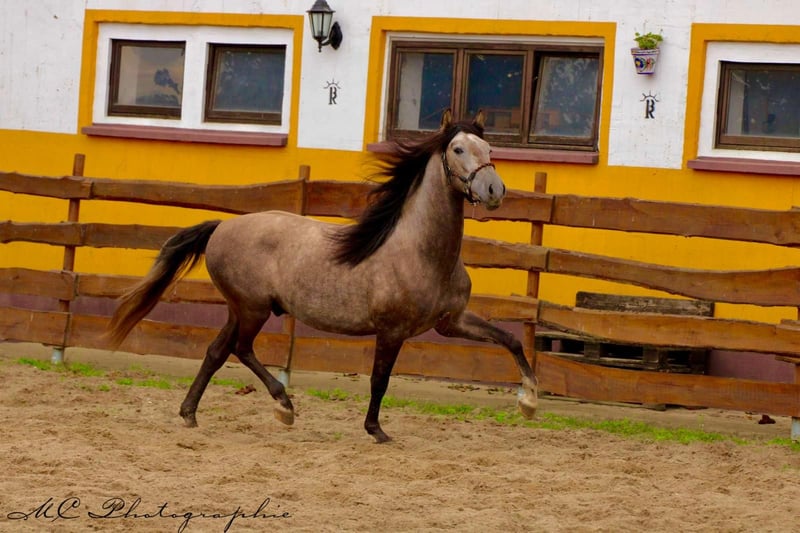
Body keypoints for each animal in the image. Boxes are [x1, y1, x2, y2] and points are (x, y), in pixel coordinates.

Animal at [106, 110, 538, 443]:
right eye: (458, 149)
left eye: (490, 150)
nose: (493, 189)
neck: (422, 252)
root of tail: (221, 227)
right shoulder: (392, 331)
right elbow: (379, 379)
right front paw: (376, 430)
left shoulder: (451, 322)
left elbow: (511, 339)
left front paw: (530, 402)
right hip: (252, 308)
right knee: (241, 349)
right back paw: (284, 406)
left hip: (238, 308)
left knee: (216, 351)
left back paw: (190, 413)